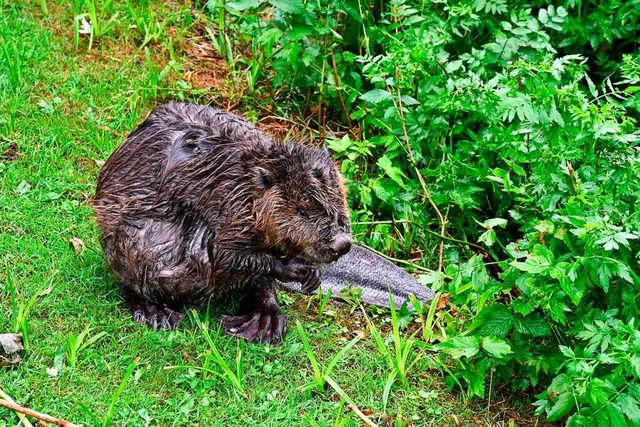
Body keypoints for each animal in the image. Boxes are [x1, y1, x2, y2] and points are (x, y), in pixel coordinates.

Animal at [95, 103, 352, 344]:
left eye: (339, 200)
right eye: (301, 210)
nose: (342, 244)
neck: (243, 182)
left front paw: (313, 275)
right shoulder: (226, 207)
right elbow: (222, 255)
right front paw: (294, 268)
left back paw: (263, 321)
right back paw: (157, 313)